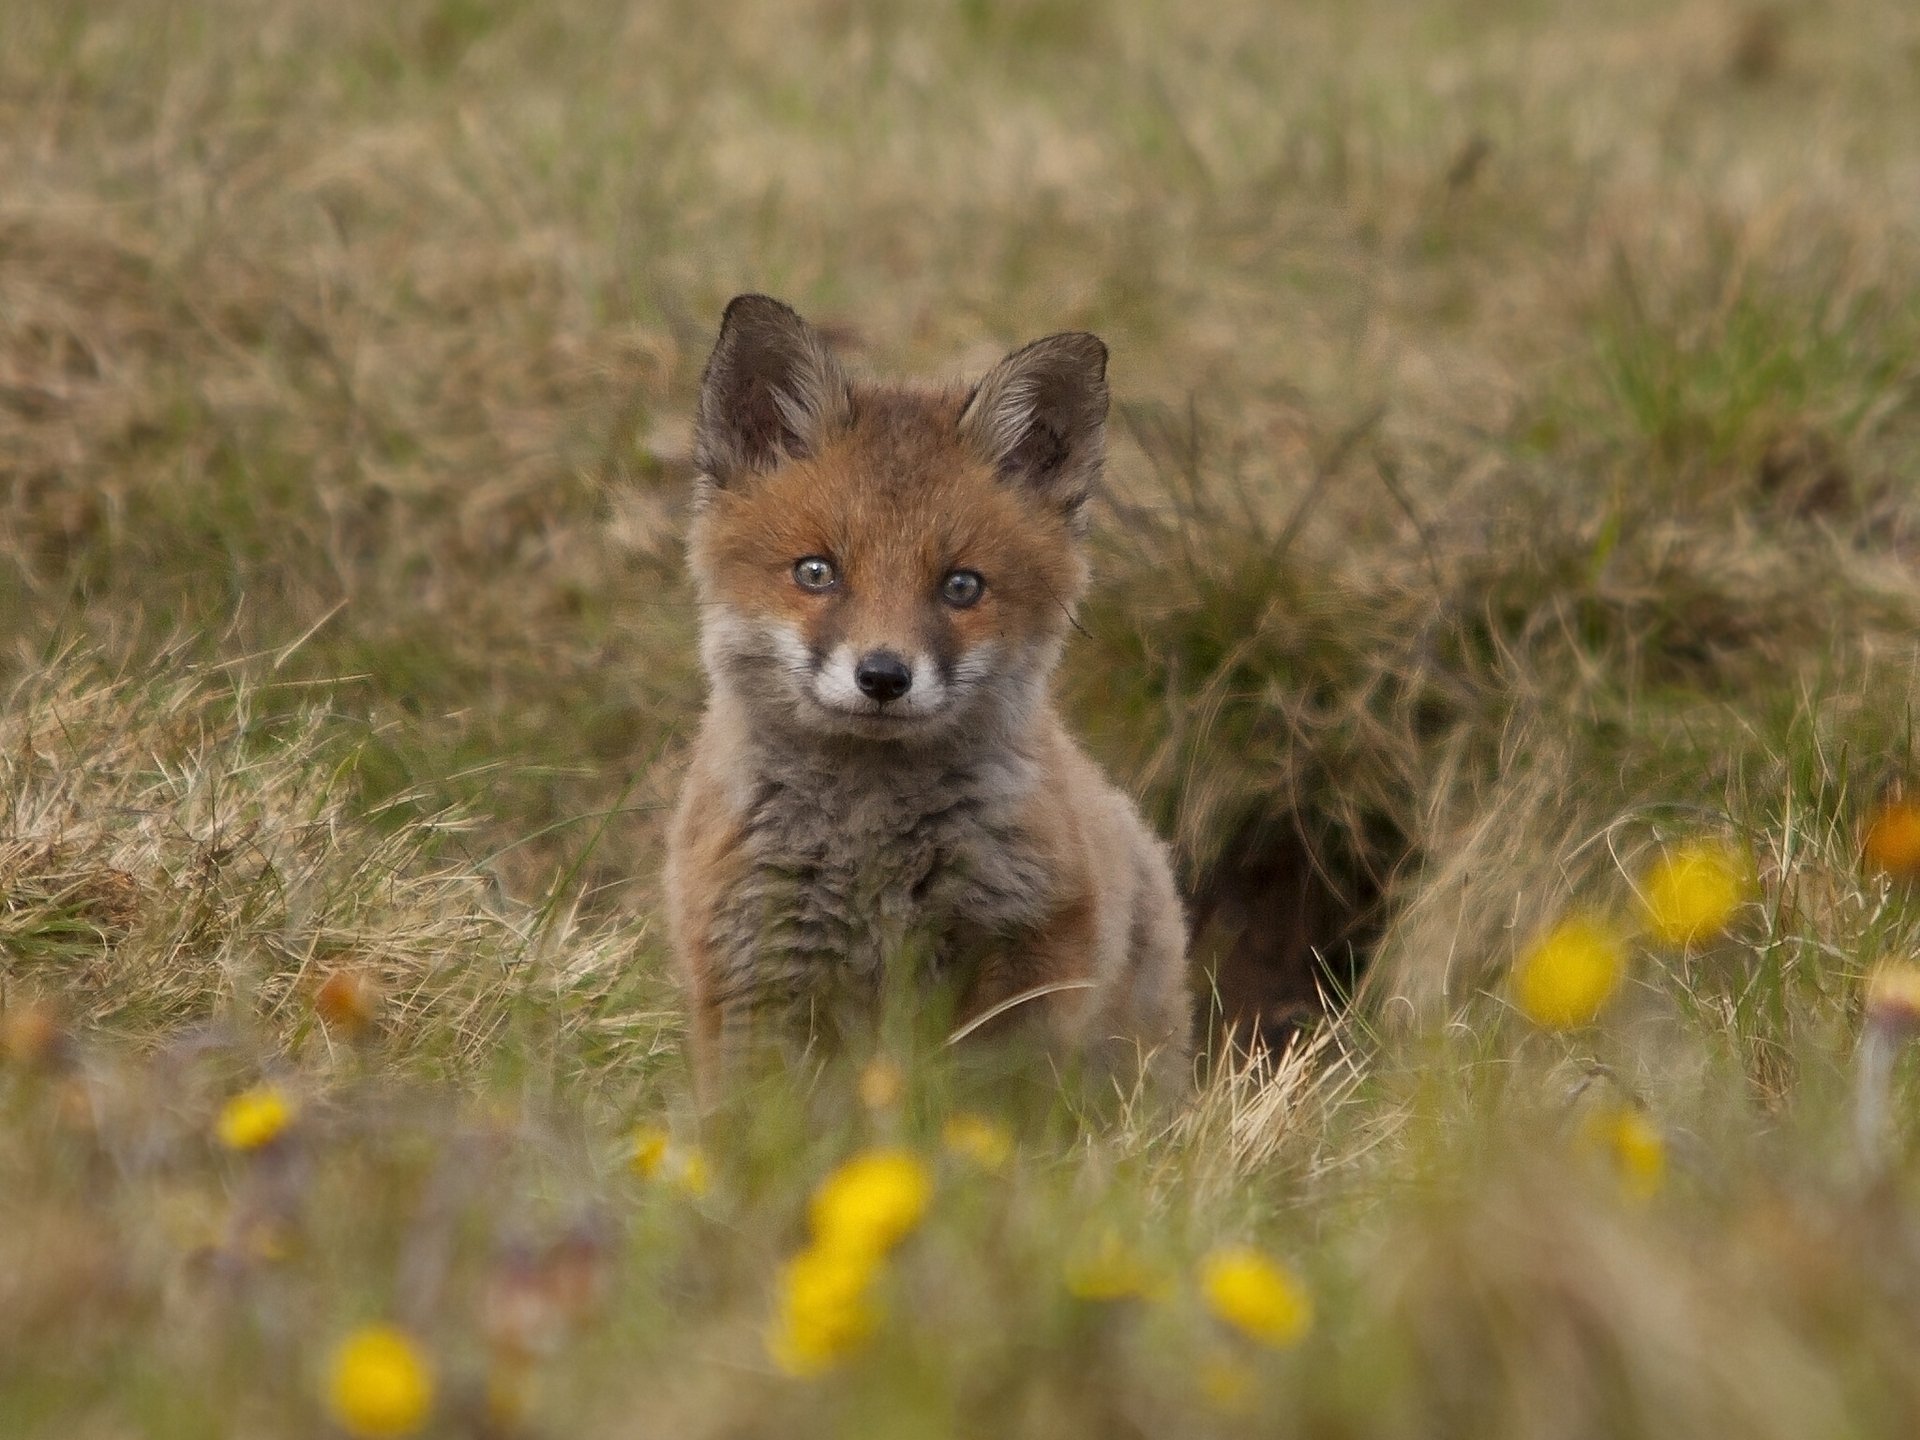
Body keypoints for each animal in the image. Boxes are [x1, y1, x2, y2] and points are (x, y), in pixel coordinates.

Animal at [664, 294, 1190, 1099]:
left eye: (961, 586)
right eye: (816, 571)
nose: (883, 677)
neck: (869, 857)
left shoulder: (1027, 965)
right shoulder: (754, 971)